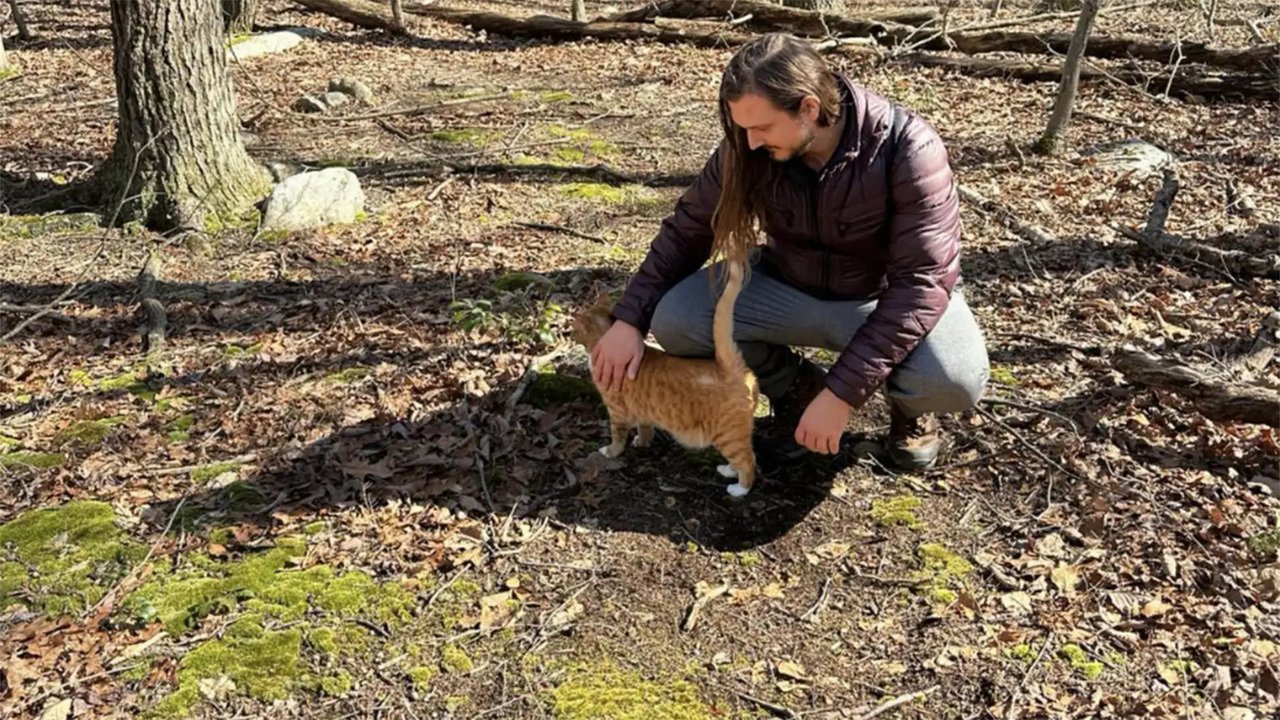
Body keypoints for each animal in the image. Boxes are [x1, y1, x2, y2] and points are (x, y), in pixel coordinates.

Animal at [573, 260, 757, 497]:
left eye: (573, 329)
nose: (568, 333)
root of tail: (730, 368)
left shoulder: (618, 412)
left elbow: (617, 437)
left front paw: (610, 451)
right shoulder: (642, 411)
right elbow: (645, 429)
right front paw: (642, 442)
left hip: (727, 435)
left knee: (748, 461)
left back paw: (739, 489)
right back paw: (727, 470)